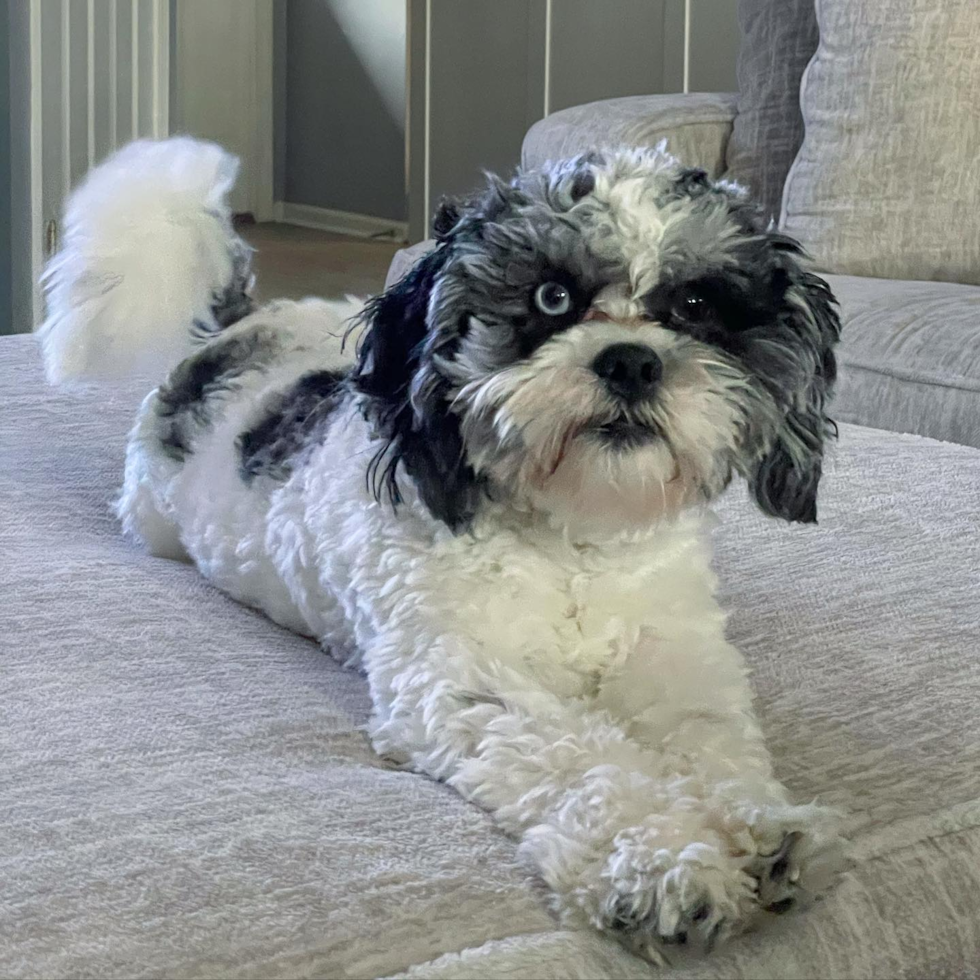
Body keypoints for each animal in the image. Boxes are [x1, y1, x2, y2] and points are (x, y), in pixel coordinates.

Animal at [38, 138, 848, 964]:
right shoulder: (462, 679)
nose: (631, 360)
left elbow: (712, 745)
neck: (575, 542)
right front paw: (661, 866)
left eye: (694, 308)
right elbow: (582, 764)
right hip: (153, 519)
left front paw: (761, 830)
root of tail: (240, 327)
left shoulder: (676, 662)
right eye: (551, 298)